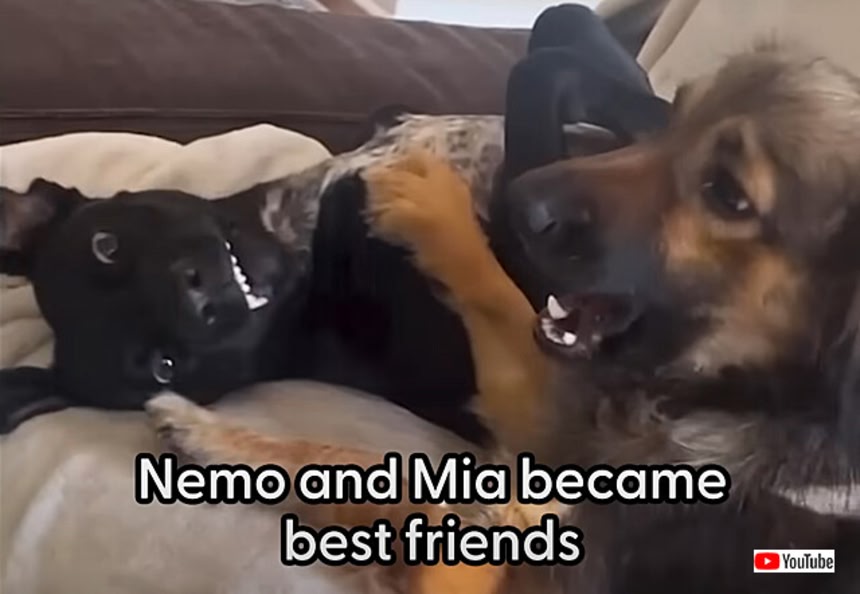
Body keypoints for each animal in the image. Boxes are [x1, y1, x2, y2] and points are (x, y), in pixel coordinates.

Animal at [145, 45, 860, 594]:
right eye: (673, 120)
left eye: (728, 194)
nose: (518, 199)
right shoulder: (559, 427)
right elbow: (499, 302)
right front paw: (431, 205)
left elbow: (376, 474)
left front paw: (217, 438)